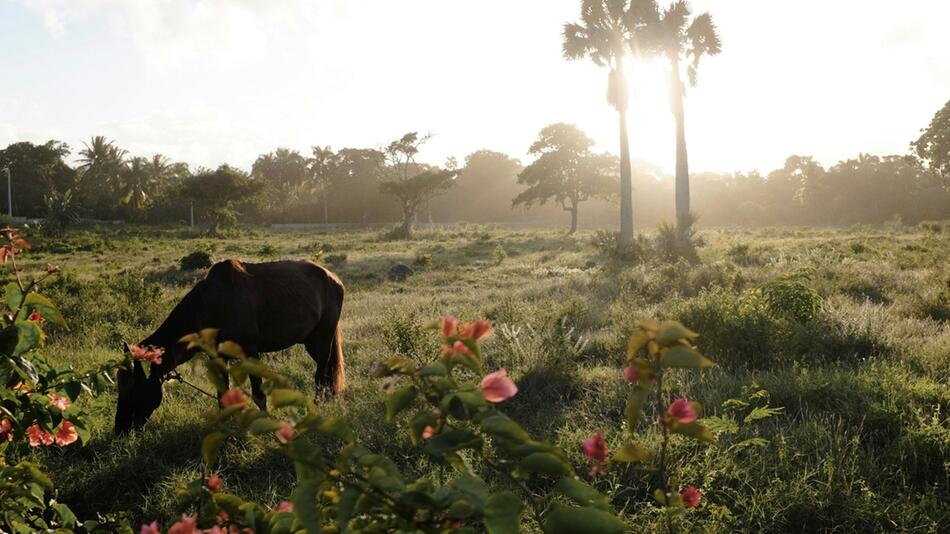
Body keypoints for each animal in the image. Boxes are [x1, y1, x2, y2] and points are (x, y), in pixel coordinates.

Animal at [115, 260, 346, 436]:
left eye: (133, 387)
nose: (120, 430)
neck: (205, 307)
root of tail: (333, 278)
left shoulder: (249, 351)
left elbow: (258, 394)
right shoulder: (217, 356)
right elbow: (222, 396)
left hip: (324, 337)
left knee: (322, 375)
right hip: (311, 341)